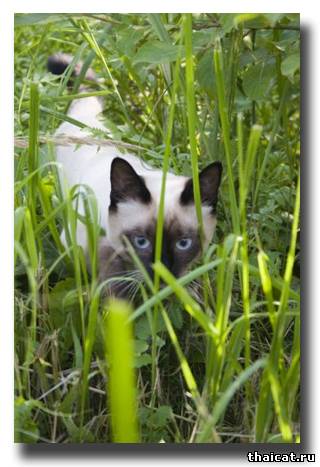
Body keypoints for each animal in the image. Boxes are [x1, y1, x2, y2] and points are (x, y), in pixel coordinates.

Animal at [48, 53, 222, 298]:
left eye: (183, 244)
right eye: (141, 242)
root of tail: (87, 119)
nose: (161, 275)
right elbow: (113, 287)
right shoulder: (92, 252)